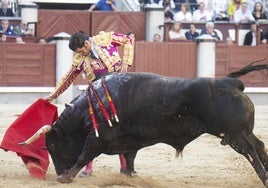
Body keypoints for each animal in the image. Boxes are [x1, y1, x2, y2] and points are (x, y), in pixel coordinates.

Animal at [24, 64, 268, 186]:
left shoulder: (98, 137)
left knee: (251, 153)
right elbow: (129, 157)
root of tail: (230, 81)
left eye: (52, 146)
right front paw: (129, 176)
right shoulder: (127, 141)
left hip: (234, 135)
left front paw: (66, 178)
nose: (58, 170)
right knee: (259, 146)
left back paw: (264, 178)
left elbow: (85, 154)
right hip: (244, 132)